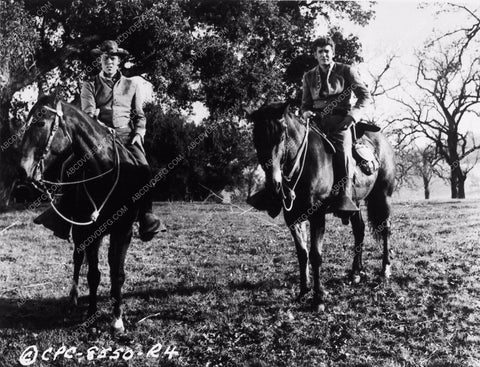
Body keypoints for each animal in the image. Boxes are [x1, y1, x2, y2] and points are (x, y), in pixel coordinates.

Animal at [19, 95, 150, 334]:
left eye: (40, 123)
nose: (22, 170)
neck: (104, 172)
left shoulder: (123, 231)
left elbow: (117, 274)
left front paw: (117, 319)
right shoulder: (89, 232)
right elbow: (93, 274)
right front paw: (90, 316)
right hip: (80, 233)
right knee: (78, 258)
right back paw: (73, 297)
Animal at [249, 102, 396, 312]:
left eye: (282, 136)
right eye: (256, 138)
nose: (274, 185)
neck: (304, 163)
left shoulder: (317, 215)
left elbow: (315, 255)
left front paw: (318, 298)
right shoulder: (292, 217)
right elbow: (302, 254)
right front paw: (303, 292)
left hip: (383, 196)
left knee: (386, 230)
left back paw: (385, 270)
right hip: (355, 203)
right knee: (359, 230)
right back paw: (356, 273)